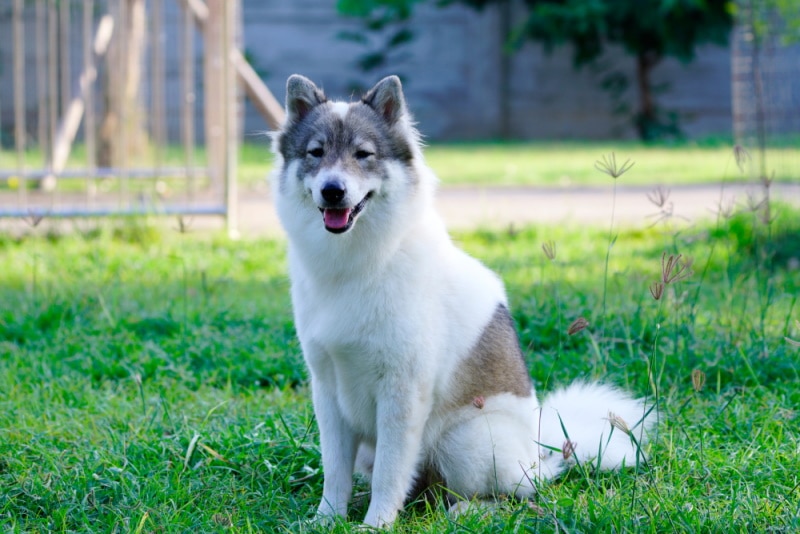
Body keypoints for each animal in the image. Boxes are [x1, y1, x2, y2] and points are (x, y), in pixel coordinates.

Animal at [272, 75, 652, 532]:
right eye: (316, 152)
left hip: (465, 440)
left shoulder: (402, 393)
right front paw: (327, 519)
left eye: (364, 154)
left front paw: (376, 523)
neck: (362, 262)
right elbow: (335, 470)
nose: (333, 191)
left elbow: (390, 473)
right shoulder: (328, 390)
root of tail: (540, 455)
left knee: (514, 496)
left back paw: (467, 511)